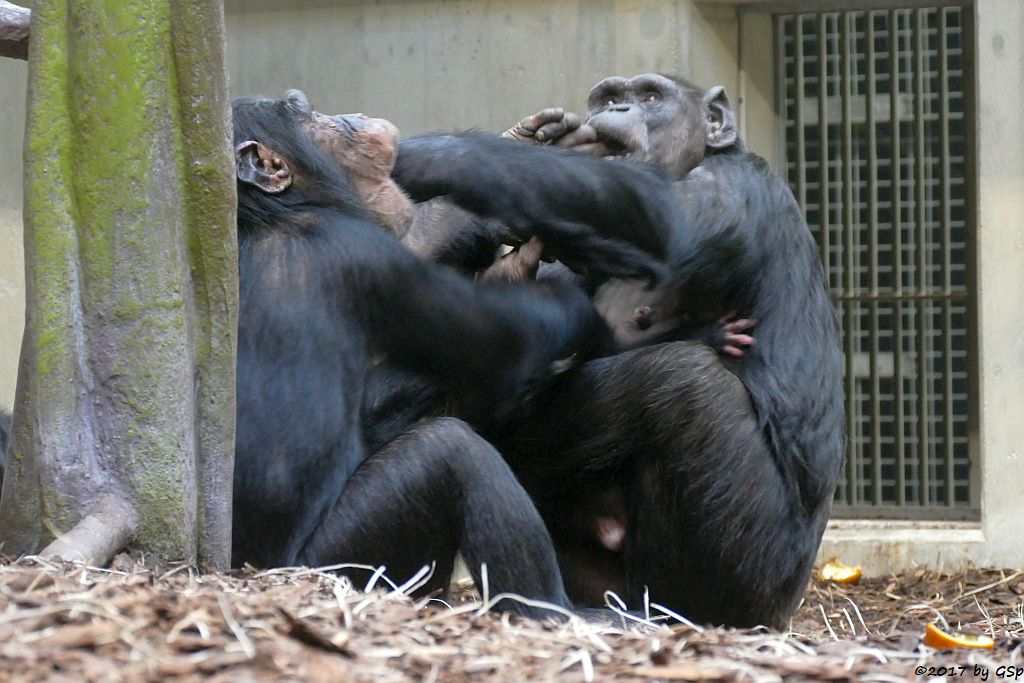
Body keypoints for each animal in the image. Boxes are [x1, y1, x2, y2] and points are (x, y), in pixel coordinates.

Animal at [228, 88, 647, 618]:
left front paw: (525, 145)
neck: (281, 212)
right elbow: (498, 341)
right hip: (345, 561)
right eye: (299, 112)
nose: (343, 114)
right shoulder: (365, 255)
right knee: (448, 450)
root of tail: (244, 572)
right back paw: (556, 613)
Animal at [387, 72, 843, 626]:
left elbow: (660, 223)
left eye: (650, 97)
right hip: (604, 582)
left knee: (683, 381)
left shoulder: (736, 190)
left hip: (749, 576)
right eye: (608, 98)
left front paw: (431, 157)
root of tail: (785, 614)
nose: (619, 108)